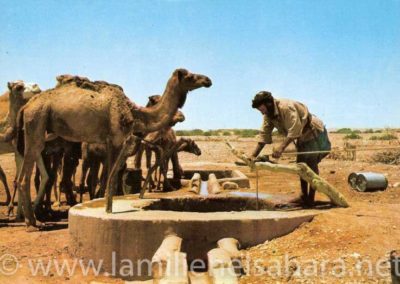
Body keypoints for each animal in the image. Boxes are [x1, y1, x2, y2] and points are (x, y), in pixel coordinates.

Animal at [14, 69, 212, 229]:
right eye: (190, 76)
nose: (208, 80)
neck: (133, 112)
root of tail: (26, 106)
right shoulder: (117, 140)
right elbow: (112, 176)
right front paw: (109, 210)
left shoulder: (109, 143)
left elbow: (106, 177)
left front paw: (105, 204)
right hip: (37, 122)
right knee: (26, 177)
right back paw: (32, 222)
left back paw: (33, 218)